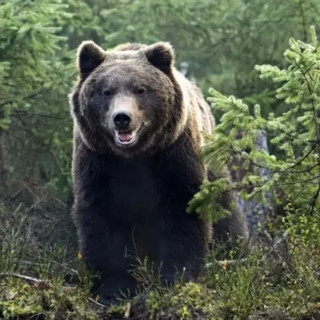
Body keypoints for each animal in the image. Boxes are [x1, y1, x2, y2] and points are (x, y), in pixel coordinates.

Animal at [69, 40, 246, 304]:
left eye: (140, 89)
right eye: (106, 91)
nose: (122, 118)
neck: (134, 156)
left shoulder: (174, 155)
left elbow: (183, 212)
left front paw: (176, 278)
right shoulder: (97, 162)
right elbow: (103, 221)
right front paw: (114, 289)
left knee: (226, 213)